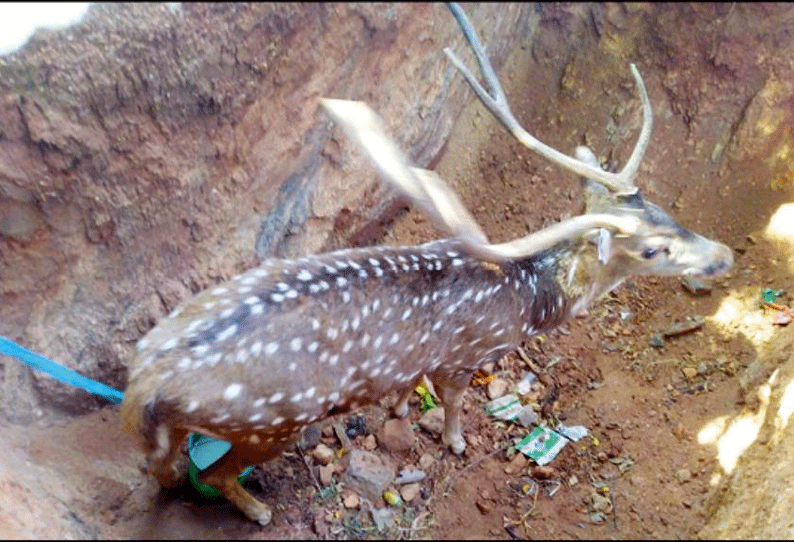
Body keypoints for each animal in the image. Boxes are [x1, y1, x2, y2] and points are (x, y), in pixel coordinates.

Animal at [120, 1, 732, 528]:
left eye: (666, 209)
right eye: (652, 249)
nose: (723, 256)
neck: (530, 302)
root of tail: (143, 385)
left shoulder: (419, 361)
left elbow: (403, 390)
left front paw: (395, 412)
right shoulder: (464, 357)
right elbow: (456, 406)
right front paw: (455, 442)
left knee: (165, 468)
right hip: (270, 420)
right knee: (217, 472)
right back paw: (259, 511)